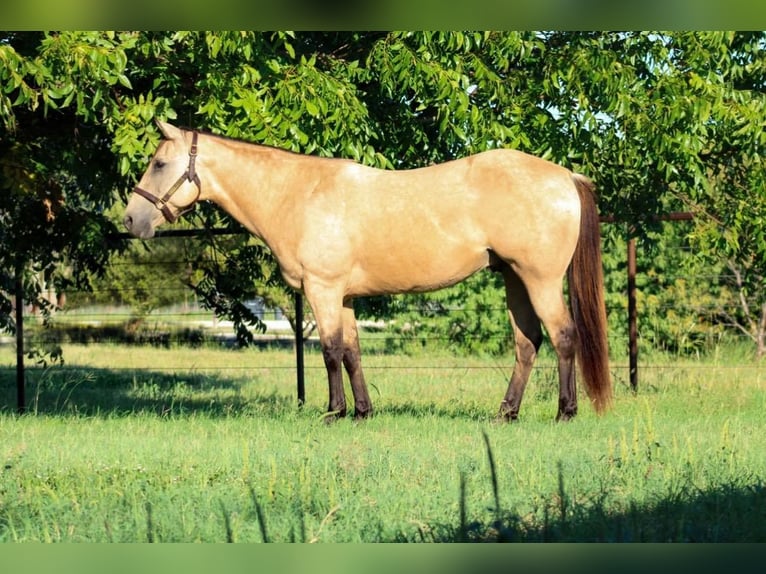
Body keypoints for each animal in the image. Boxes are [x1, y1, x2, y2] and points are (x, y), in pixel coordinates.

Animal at [124, 121, 612, 426]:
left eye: (159, 164)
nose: (131, 219)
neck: (298, 194)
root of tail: (566, 176)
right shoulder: (343, 296)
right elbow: (353, 352)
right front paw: (362, 411)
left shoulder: (322, 290)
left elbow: (329, 351)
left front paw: (334, 412)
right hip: (514, 279)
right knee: (527, 344)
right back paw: (505, 413)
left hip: (540, 280)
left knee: (563, 336)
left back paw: (565, 412)